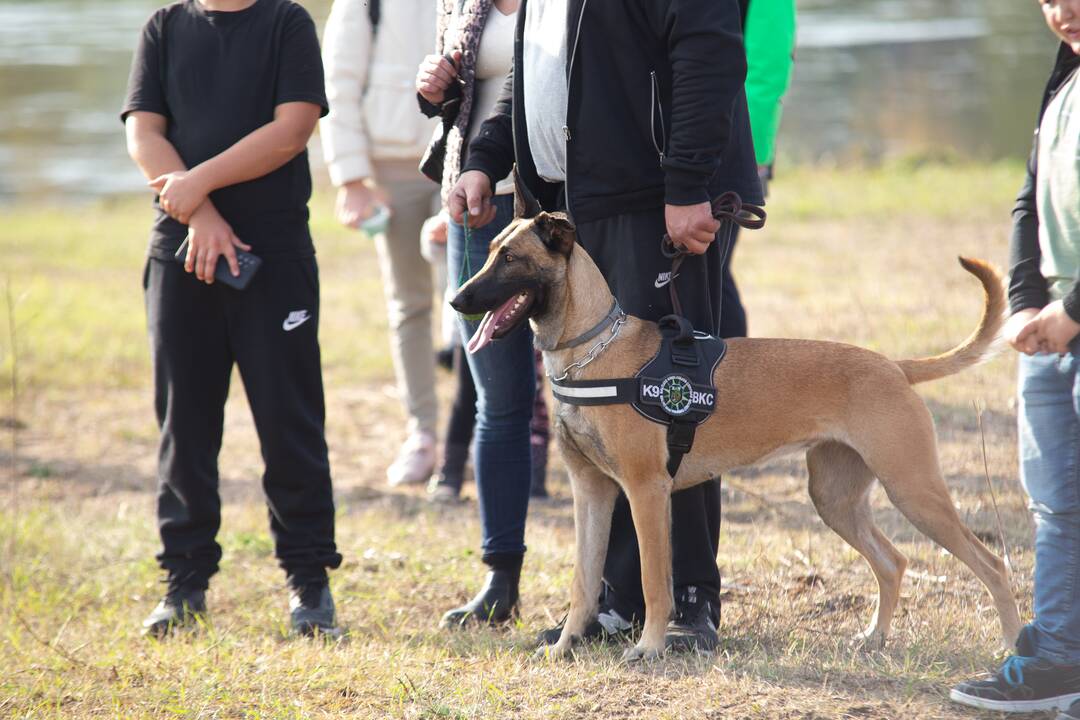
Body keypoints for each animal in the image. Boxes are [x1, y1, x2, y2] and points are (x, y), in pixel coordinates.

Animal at [449, 209, 1019, 664]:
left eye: (509, 258)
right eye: (491, 251)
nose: (457, 300)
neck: (594, 349)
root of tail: (894, 366)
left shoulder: (647, 492)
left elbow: (655, 582)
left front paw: (650, 647)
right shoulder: (592, 492)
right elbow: (584, 584)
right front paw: (566, 646)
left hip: (914, 491)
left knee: (993, 564)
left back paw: (1013, 648)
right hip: (836, 499)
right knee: (893, 562)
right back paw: (875, 639)